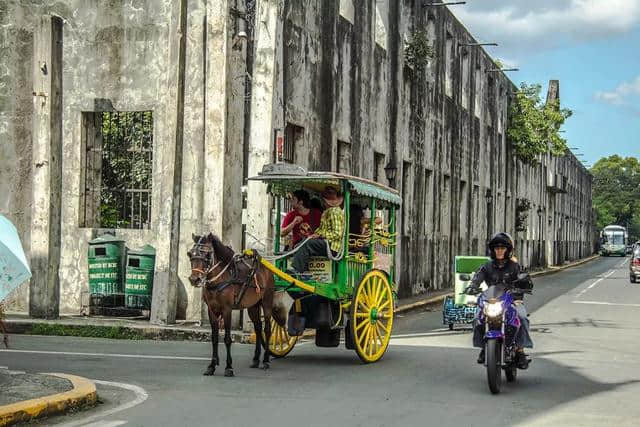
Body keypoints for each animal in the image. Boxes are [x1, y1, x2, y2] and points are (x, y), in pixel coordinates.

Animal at [186, 234, 274, 378]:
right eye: (190, 254)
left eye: (207, 254)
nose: (195, 279)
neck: (218, 281)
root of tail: (266, 267)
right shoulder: (212, 311)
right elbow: (214, 339)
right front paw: (211, 366)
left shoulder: (227, 310)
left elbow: (227, 339)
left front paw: (229, 367)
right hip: (253, 306)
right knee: (258, 328)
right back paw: (256, 359)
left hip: (267, 303)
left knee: (267, 329)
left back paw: (266, 360)